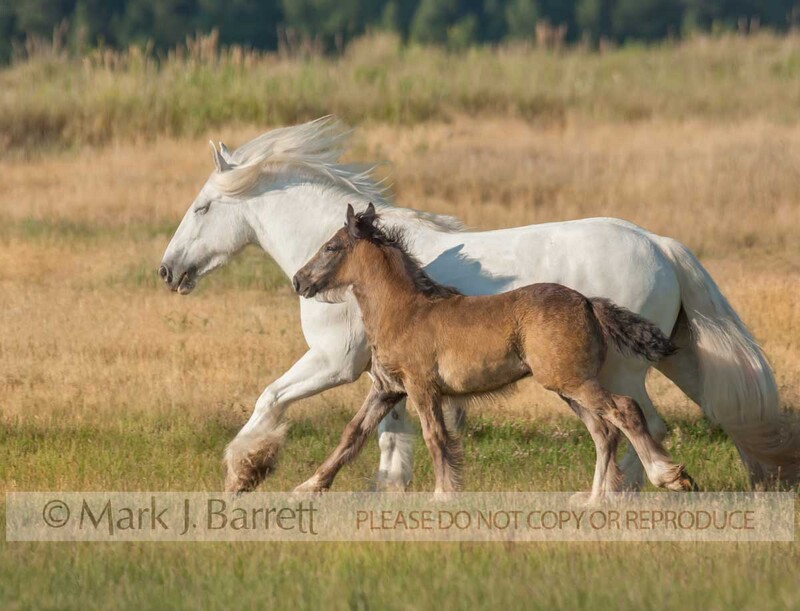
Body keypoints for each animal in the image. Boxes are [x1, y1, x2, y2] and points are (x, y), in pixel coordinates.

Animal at [291, 203, 698, 496]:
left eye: (331, 246)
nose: (299, 280)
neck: (405, 310)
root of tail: (588, 303)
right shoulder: (387, 389)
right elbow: (352, 434)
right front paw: (308, 486)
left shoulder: (422, 388)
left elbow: (436, 438)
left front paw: (444, 495)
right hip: (568, 387)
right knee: (604, 431)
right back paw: (595, 499)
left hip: (572, 382)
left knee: (625, 411)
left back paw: (670, 478)